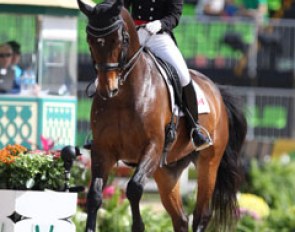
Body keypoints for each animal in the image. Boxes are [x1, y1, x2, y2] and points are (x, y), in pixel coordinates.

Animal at [77, 0, 247, 232]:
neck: (125, 95)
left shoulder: (153, 146)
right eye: (90, 40)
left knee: (201, 214)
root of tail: (216, 91)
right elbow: (94, 195)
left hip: (208, 162)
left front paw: (138, 226)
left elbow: (134, 188)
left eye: (122, 39)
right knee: (180, 219)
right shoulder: (103, 149)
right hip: (167, 170)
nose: (107, 89)